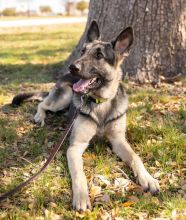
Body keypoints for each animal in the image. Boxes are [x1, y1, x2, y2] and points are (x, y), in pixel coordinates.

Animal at [12, 20, 159, 211]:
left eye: (99, 55)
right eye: (83, 51)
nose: (72, 67)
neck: (100, 102)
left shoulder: (118, 141)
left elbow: (135, 157)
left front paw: (148, 178)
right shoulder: (75, 147)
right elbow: (78, 174)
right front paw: (81, 196)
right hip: (64, 96)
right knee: (42, 103)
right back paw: (40, 117)